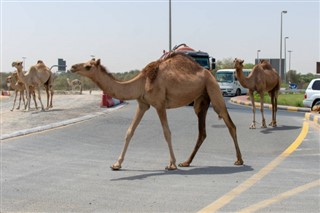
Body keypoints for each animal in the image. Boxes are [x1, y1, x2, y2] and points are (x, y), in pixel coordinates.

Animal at [71, 53, 244, 171]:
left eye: (88, 66)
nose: (73, 67)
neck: (141, 82)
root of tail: (208, 72)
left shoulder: (160, 104)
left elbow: (167, 132)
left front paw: (171, 164)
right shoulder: (142, 104)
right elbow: (129, 131)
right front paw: (116, 164)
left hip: (213, 90)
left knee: (230, 124)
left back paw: (239, 160)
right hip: (201, 99)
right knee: (202, 132)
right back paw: (186, 162)